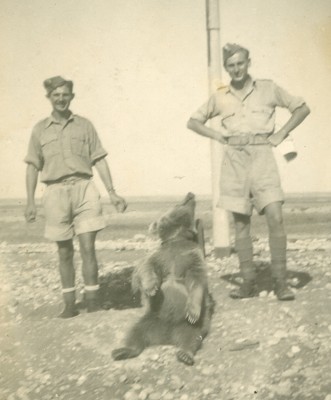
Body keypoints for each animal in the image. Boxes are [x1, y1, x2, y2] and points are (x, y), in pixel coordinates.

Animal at [111, 193, 215, 366]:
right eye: (177, 203)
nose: (190, 194)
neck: (178, 238)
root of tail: (166, 336)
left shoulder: (191, 255)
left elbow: (197, 280)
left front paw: (193, 311)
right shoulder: (162, 254)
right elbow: (148, 266)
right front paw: (151, 288)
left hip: (189, 325)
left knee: (192, 337)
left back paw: (185, 354)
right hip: (148, 318)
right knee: (134, 333)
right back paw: (122, 350)